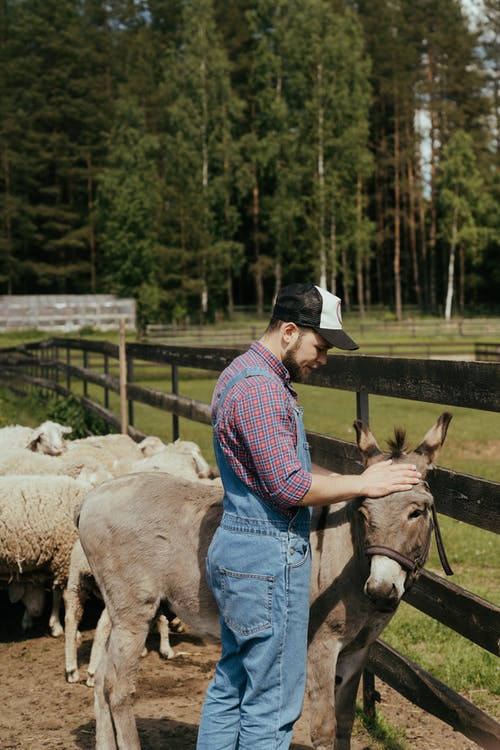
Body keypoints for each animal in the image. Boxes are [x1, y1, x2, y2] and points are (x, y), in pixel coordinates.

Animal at [0, 476, 89, 636]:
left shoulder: (58, 559)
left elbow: (57, 594)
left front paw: (55, 625)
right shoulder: (66, 558)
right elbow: (67, 597)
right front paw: (70, 631)